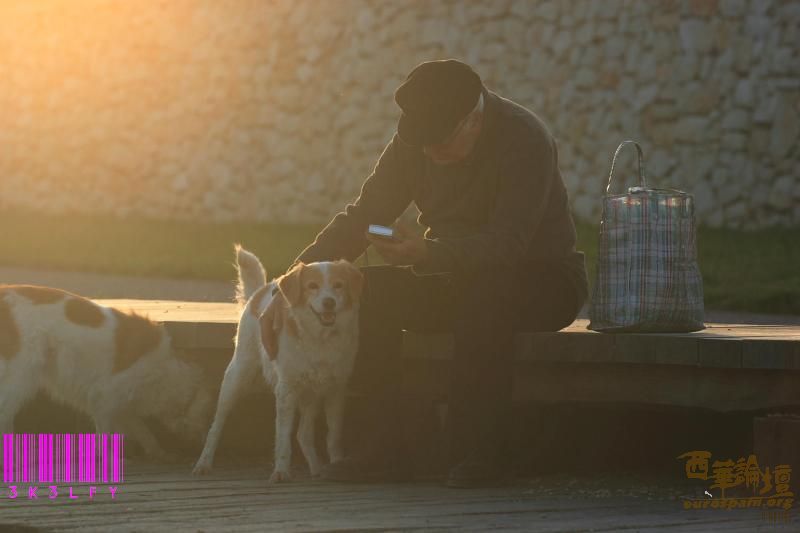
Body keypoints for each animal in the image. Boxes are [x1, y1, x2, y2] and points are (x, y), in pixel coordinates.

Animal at [0, 282, 212, 458]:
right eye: (207, 419)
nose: (203, 444)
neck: (165, 371)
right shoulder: (104, 397)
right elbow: (106, 433)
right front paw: (108, 458)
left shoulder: (123, 404)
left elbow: (142, 430)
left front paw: (158, 452)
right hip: (22, 375)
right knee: (5, 414)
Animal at [192, 246, 360, 482]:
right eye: (312, 286)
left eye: (339, 285)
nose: (329, 302)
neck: (319, 338)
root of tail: (260, 291)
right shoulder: (286, 390)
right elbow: (282, 436)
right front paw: (281, 471)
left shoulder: (336, 390)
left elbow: (334, 435)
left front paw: (337, 463)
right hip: (236, 378)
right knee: (216, 426)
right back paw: (204, 462)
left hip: (311, 394)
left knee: (303, 434)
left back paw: (317, 469)